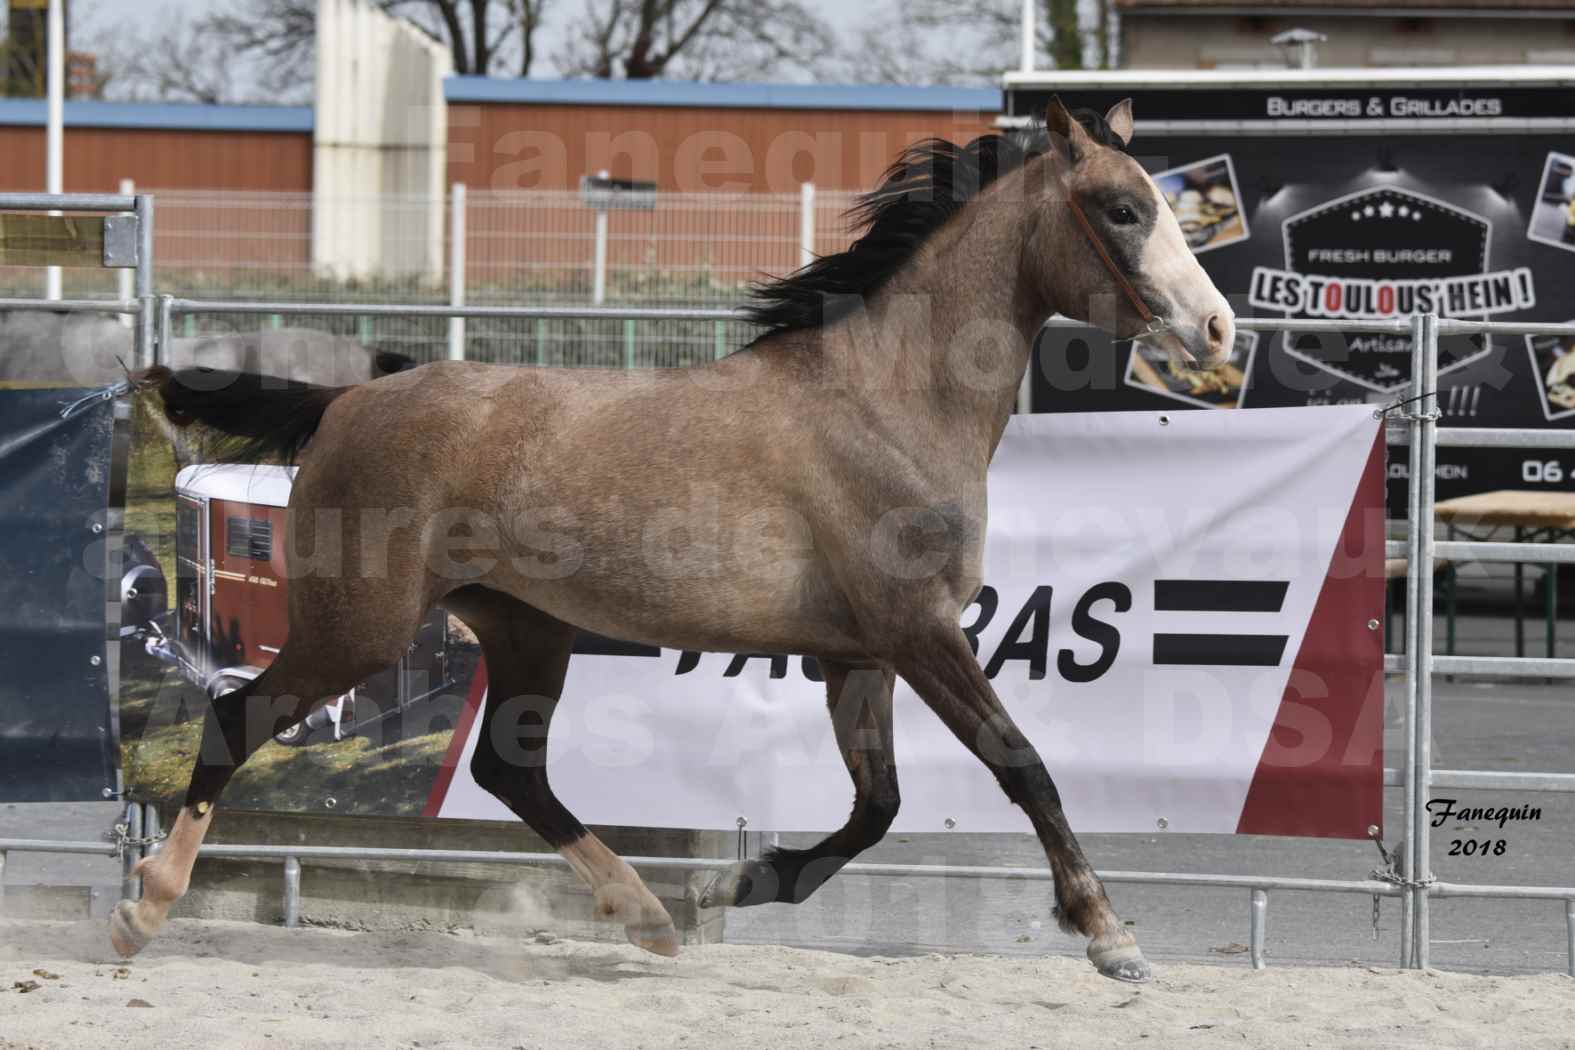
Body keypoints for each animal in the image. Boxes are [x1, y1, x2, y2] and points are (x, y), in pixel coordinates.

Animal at [116, 98, 1234, 988]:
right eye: (1123, 210)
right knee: (237, 720)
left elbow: (879, 803)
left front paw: (745, 880)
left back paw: (650, 916)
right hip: (360, 627)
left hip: (523, 630)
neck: (888, 401)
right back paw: (143, 905)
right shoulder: (920, 634)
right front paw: (1109, 936)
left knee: (510, 775)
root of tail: (346, 400)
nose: (1219, 331)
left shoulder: (858, 655)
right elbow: (1021, 766)